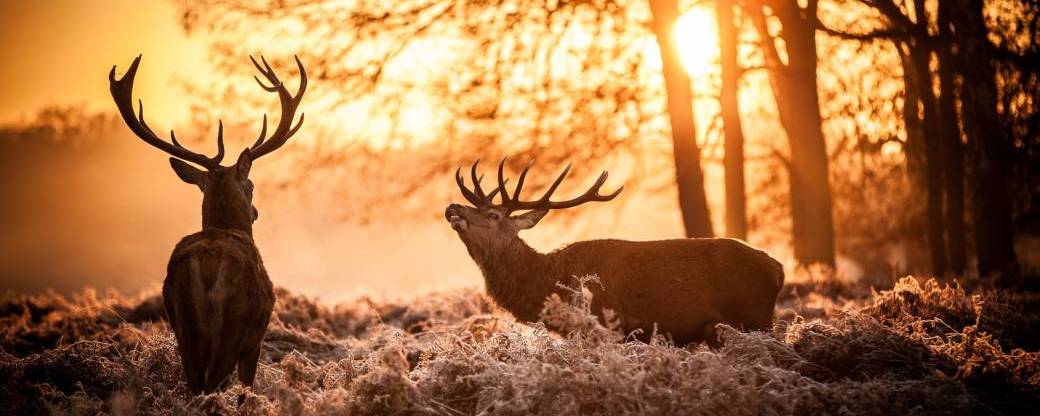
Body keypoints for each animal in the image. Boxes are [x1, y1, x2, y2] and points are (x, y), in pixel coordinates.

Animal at [109, 54, 306, 394]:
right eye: (251, 185)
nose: (256, 212)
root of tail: (207, 266)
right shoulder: (255, 340)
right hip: (232, 326)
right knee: (213, 384)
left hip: (184, 326)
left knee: (194, 386)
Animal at [445, 160, 784, 346]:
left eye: (494, 215)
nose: (453, 207)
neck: (550, 283)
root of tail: (777, 269)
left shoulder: (607, 327)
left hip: (755, 318)